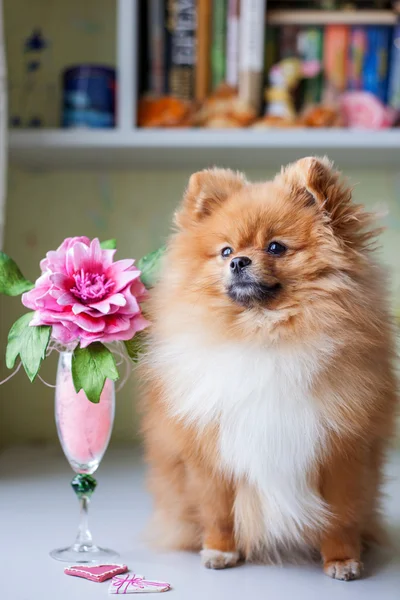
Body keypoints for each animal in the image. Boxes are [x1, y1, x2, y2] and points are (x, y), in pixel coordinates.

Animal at [141, 157, 396, 580]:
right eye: (225, 250)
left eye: (275, 247)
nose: (238, 261)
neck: (264, 333)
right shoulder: (211, 454)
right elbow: (218, 511)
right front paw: (220, 551)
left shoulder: (341, 451)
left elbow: (341, 517)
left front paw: (342, 559)